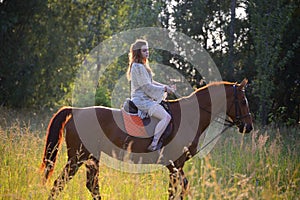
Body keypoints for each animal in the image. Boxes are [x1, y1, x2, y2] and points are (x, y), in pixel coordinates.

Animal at [39, 79, 253, 199]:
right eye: (243, 101)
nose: (248, 127)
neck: (191, 116)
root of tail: (76, 111)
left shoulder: (176, 166)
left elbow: (179, 188)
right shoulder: (175, 164)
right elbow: (177, 189)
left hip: (92, 158)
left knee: (92, 186)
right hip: (77, 158)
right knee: (59, 184)